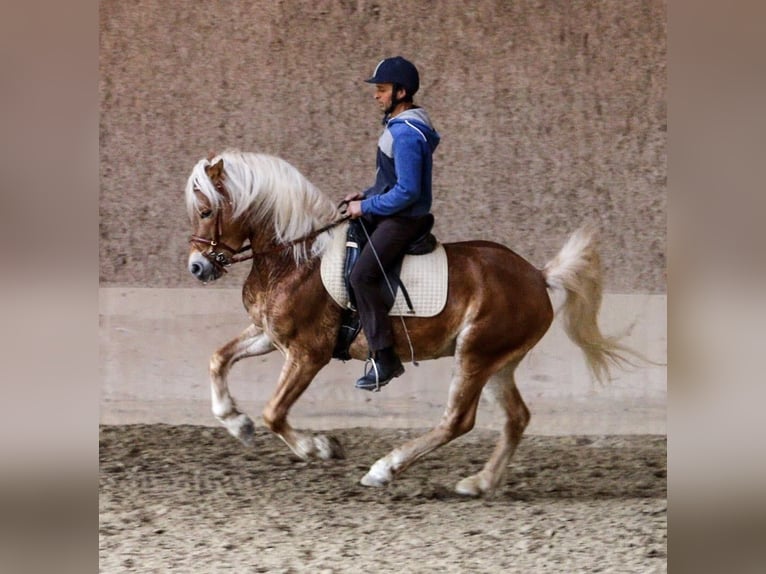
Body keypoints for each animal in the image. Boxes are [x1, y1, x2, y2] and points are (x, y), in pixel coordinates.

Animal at [186, 151, 636, 498]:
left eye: (206, 211)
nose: (197, 268)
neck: (296, 257)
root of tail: (537, 276)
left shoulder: (307, 353)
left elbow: (274, 412)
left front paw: (320, 448)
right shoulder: (268, 335)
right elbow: (217, 359)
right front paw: (237, 423)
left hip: (476, 354)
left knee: (458, 420)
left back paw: (385, 469)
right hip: (498, 363)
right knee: (516, 418)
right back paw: (480, 483)